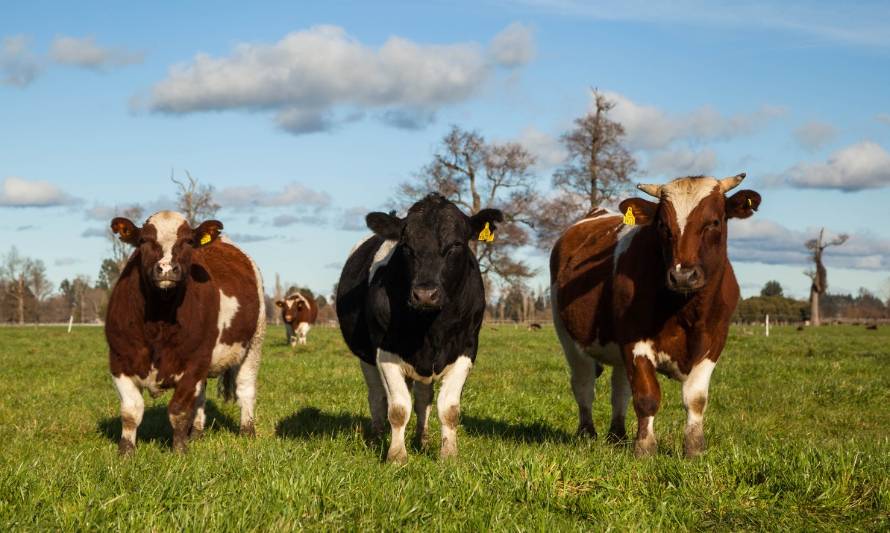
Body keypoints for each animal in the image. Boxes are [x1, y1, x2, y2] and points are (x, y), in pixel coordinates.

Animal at [104, 209, 264, 454]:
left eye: (188, 241)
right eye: (144, 240)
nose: (166, 269)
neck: (158, 322)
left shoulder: (193, 363)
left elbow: (178, 410)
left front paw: (179, 451)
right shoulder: (119, 361)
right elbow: (131, 411)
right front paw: (126, 452)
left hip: (253, 345)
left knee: (245, 389)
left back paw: (247, 432)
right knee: (200, 398)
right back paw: (197, 434)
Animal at [334, 192, 500, 462]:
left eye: (456, 244)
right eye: (406, 246)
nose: (425, 294)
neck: (430, 328)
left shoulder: (466, 349)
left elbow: (448, 408)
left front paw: (448, 454)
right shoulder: (385, 352)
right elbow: (398, 408)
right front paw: (396, 455)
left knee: (423, 399)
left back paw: (422, 439)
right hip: (365, 357)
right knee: (377, 395)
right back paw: (377, 435)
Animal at [552, 172, 760, 456]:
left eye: (714, 222)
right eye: (662, 225)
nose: (683, 275)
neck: (685, 309)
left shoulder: (714, 341)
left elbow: (695, 398)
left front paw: (694, 448)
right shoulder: (635, 341)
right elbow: (646, 396)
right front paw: (645, 447)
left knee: (619, 389)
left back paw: (617, 435)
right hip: (569, 338)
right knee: (584, 385)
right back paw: (587, 433)